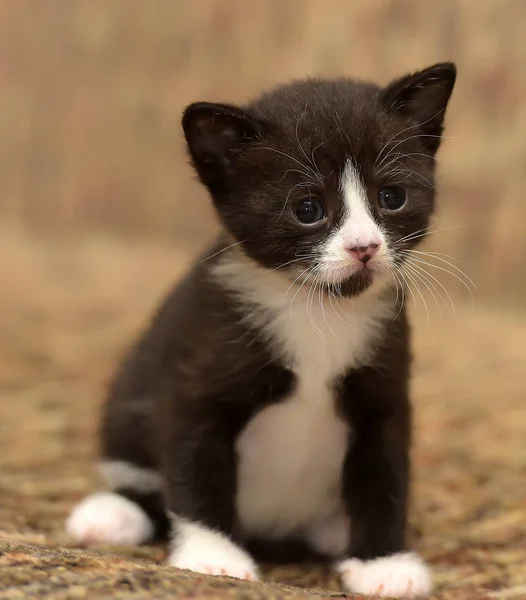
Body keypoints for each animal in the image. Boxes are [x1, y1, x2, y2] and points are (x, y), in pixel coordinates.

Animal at [67, 63, 458, 596]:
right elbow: (196, 468)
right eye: (308, 208)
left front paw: (383, 562)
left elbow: (386, 475)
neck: (316, 308)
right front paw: (213, 555)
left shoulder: (386, 390)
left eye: (391, 197)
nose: (364, 247)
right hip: (127, 408)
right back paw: (111, 514)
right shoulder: (197, 376)